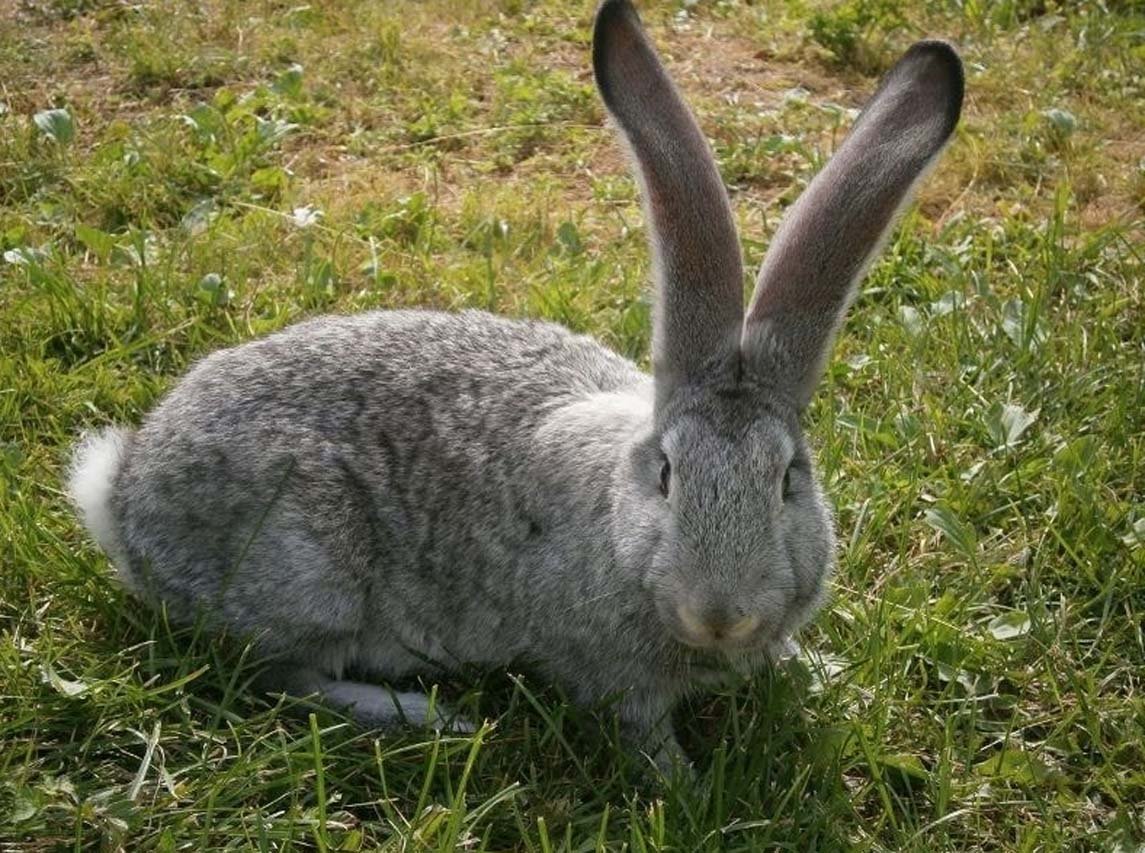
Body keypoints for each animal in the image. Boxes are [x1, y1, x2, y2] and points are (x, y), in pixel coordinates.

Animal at [68, 0, 963, 766]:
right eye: (666, 475)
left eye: (787, 480)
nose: (719, 613)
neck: (614, 523)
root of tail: (123, 495)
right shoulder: (610, 677)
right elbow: (640, 734)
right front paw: (684, 783)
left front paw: (828, 678)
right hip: (306, 572)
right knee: (279, 677)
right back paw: (429, 715)